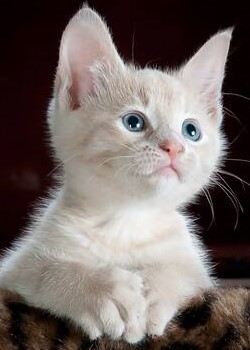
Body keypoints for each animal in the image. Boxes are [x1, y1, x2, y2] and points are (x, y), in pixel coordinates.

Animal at [0, 6, 232, 344]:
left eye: (191, 130)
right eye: (133, 122)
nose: (174, 147)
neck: (126, 221)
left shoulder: (199, 273)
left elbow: (183, 272)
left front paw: (156, 289)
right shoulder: (12, 270)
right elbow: (42, 270)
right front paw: (97, 290)